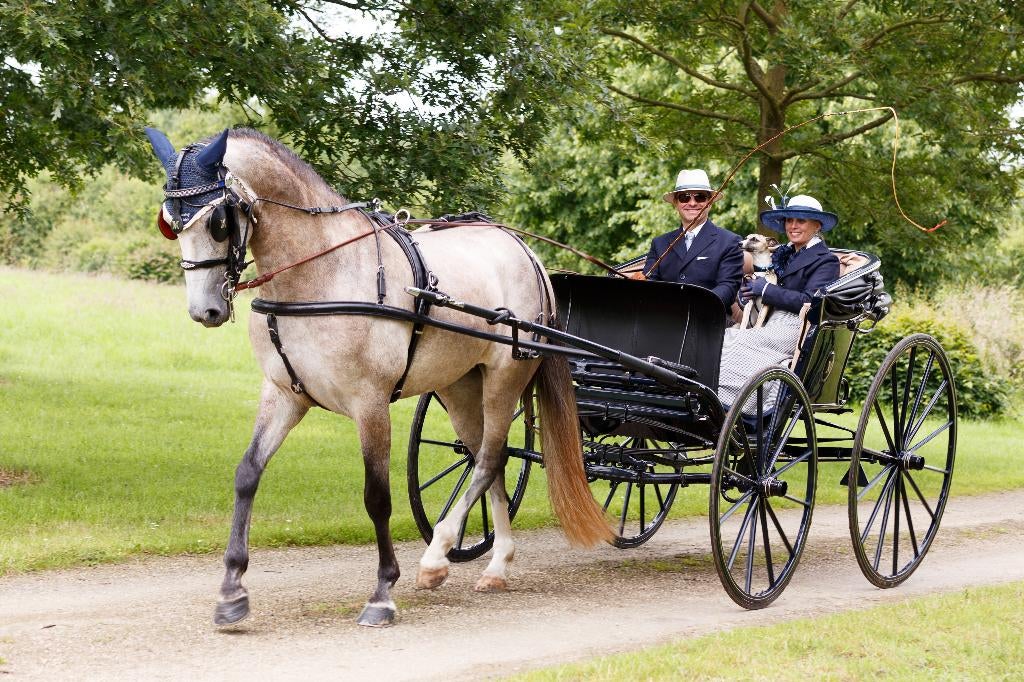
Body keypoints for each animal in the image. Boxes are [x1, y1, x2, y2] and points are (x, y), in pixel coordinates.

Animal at [144, 126, 612, 627]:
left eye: (218, 221)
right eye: (169, 221)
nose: (205, 310)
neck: (318, 274)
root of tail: (524, 251)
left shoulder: (369, 403)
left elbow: (377, 496)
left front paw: (384, 591)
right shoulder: (284, 395)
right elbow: (247, 473)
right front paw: (232, 588)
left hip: (504, 378)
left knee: (487, 460)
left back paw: (438, 555)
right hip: (460, 384)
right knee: (493, 459)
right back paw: (496, 564)